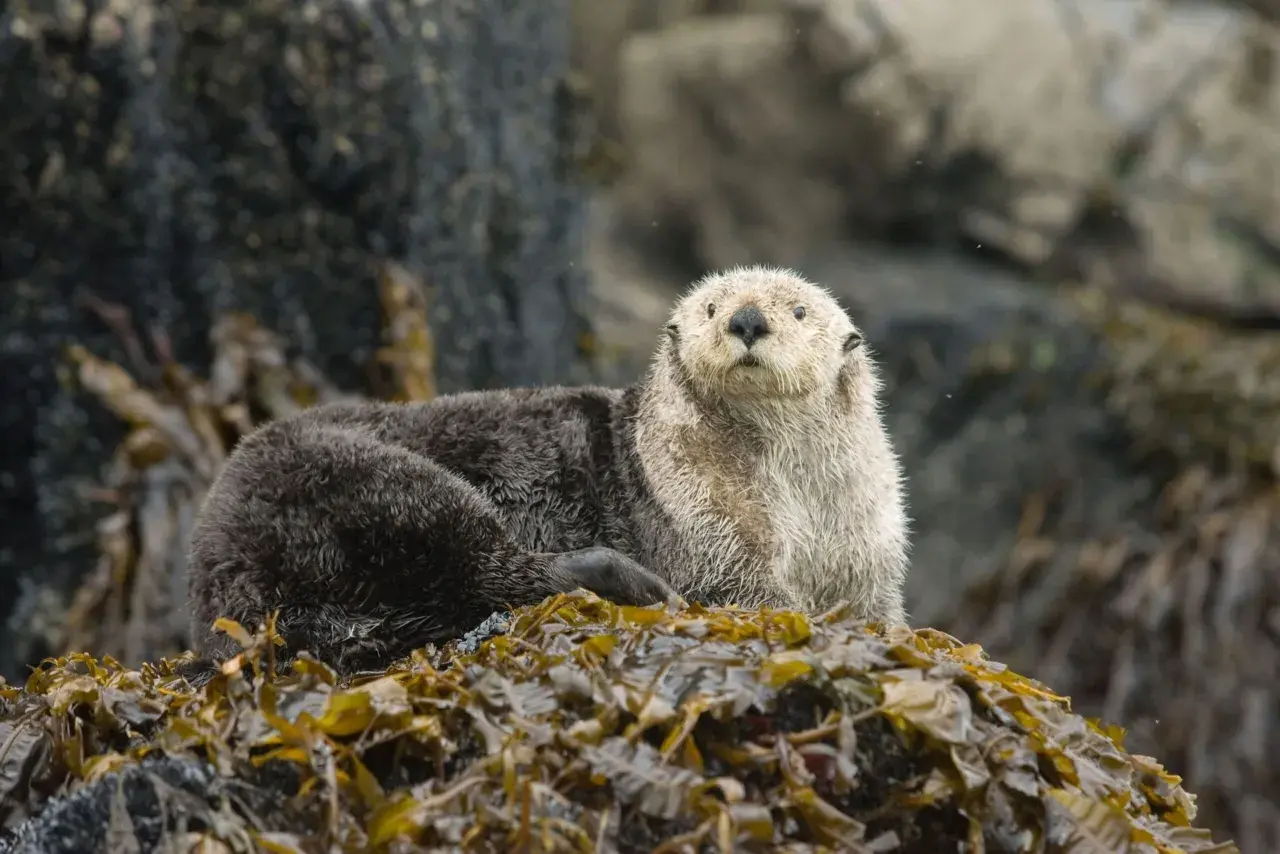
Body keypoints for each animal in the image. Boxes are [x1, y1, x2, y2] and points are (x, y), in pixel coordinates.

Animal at [184, 265, 910, 677]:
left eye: (799, 311)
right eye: (710, 308)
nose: (748, 319)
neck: (794, 494)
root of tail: (214, 570)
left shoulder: (867, 546)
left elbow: (880, 609)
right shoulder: (709, 524)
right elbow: (749, 591)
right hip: (371, 482)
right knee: (496, 571)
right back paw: (635, 585)